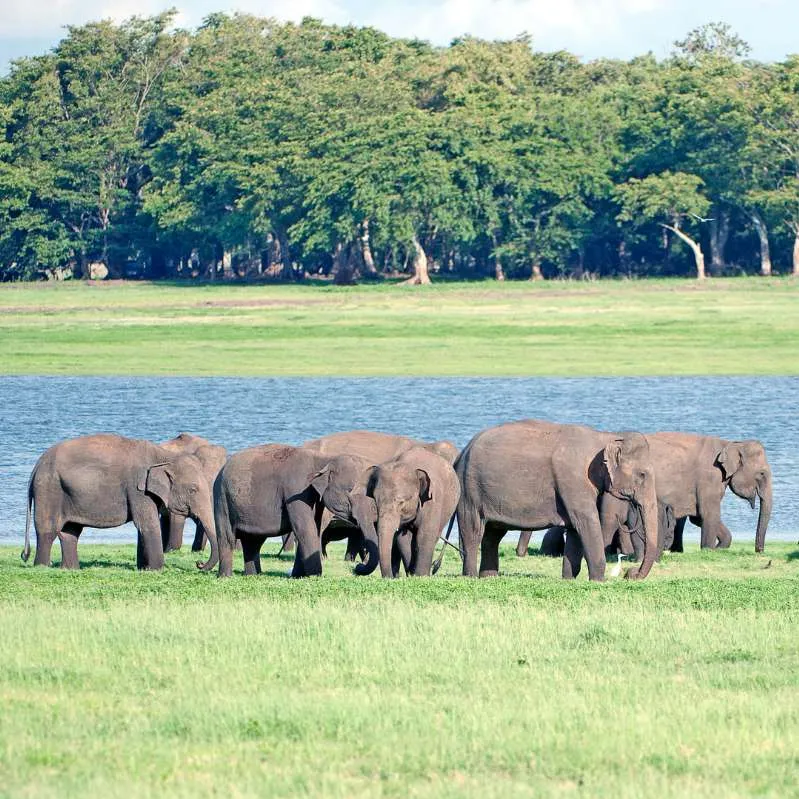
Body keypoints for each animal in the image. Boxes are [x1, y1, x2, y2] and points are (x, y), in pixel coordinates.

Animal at [21, 434, 219, 572]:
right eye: (193, 489)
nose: (199, 563)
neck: (164, 455)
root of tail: (36, 466)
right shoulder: (137, 489)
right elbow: (148, 524)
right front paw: (157, 570)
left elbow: (143, 526)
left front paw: (143, 569)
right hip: (49, 490)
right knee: (48, 530)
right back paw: (42, 567)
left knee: (70, 532)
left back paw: (70, 569)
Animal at [214, 444, 326, 580]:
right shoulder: (296, 488)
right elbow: (304, 527)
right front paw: (315, 577)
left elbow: (314, 526)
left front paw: (301, 576)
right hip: (222, 499)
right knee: (227, 538)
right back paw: (225, 577)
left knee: (252, 542)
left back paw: (253, 576)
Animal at [454, 422, 660, 584]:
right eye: (642, 475)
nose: (630, 573)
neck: (605, 436)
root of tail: (462, 452)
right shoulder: (574, 480)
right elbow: (587, 522)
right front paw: (599, 581)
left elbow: (575, 530)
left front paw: (568, 579)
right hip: (468, 490)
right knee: (473, 531)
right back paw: (471, 577)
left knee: (493, 535)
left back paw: (489, 577)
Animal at [604, 434, 772, 552]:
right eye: (762, 474)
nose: (759, 550)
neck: (730, 444)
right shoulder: (709, 477)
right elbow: (708, 514)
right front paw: (708, 550)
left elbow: (697, 517)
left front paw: (720, 547)